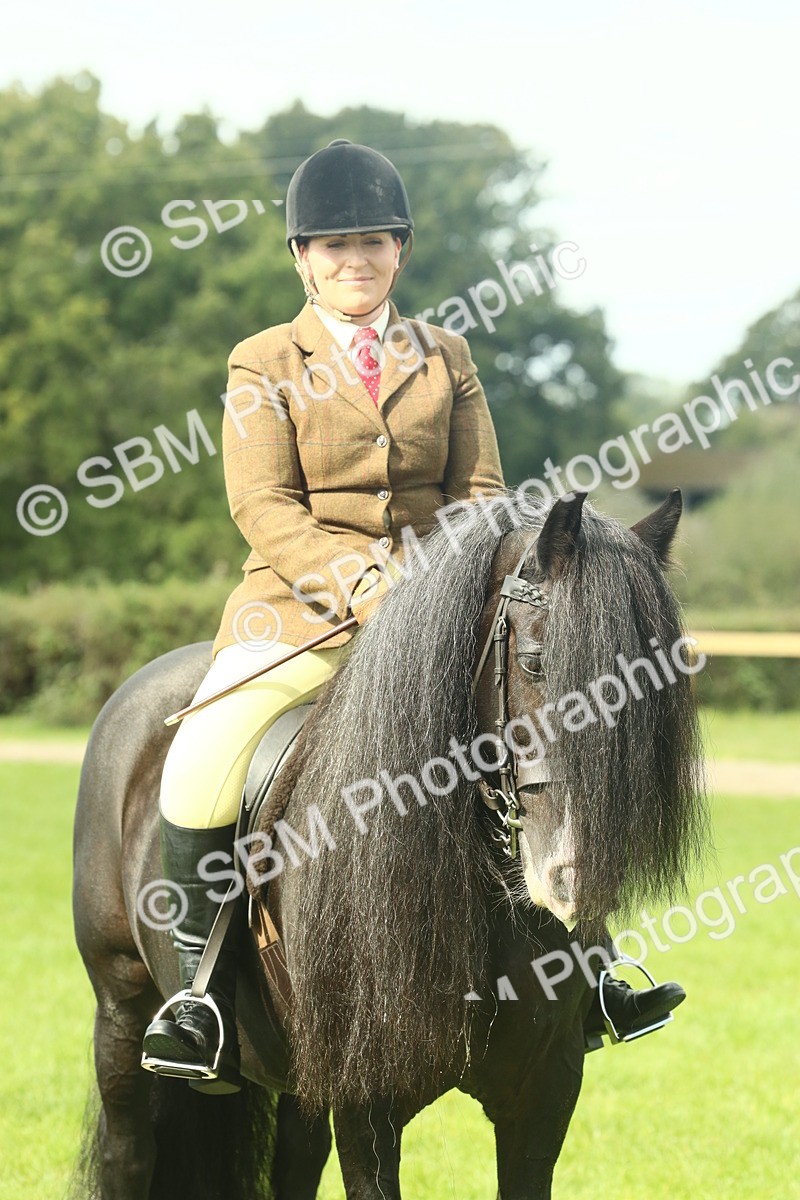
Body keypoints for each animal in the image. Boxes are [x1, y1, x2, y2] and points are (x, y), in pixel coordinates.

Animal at [70, 488, 707, 1200]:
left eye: (651, 681)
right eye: (535, 662)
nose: (574, 876)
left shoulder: (543, 1091)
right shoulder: (364, 1100)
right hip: (121, 1008)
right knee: (129, 1152)